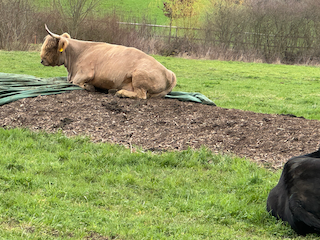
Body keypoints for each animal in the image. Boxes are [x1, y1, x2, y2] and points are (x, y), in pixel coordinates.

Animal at [40, 24, 176, 99]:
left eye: (50, 47)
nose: (42, 60)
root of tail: (170, 73)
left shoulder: (85, 73)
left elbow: (76, 83)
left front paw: (89, 86)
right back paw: (114, 90)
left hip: (139, 76)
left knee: (141, 95)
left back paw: (121, 93)